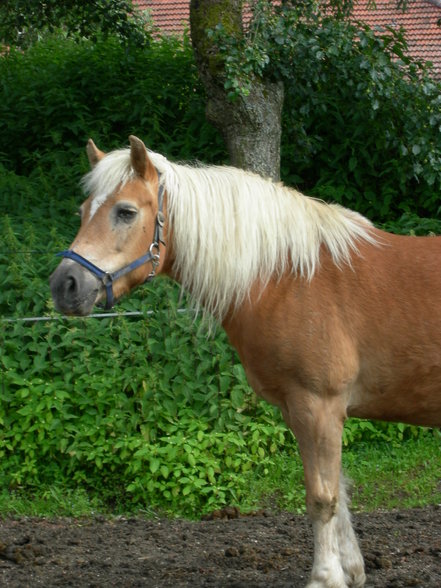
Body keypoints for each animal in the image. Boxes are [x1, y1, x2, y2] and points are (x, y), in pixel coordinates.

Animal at [49, 136, 440, 584]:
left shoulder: (317, 407)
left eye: (125, 212)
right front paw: (352, 570)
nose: (65, 285)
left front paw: (325, 576)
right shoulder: (314, 412)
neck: (290, 277)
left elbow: (322, 498)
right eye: (83, 211)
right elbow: (339, 491)